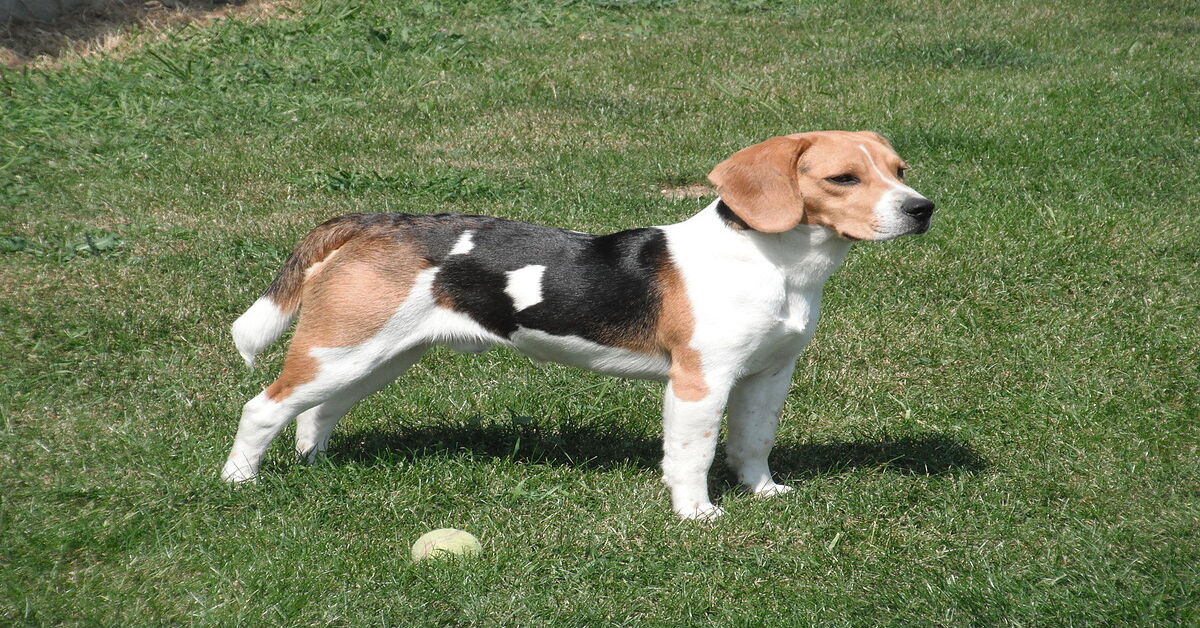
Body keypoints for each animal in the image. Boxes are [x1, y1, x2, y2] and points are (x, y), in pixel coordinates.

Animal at [225, 130, 936, 518]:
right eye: (843, 178)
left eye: (899, 171)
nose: (923, 208)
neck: (776, 262)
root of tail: (376, 222)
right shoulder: (699, 383)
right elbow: (694, 455)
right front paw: (697, 515)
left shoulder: (768, 375)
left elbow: (753, 443)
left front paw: (762, 493)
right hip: (342, 350)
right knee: (264, 407)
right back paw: (239, 482)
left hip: (374, 356)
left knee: (317, 412)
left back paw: (315, 464)